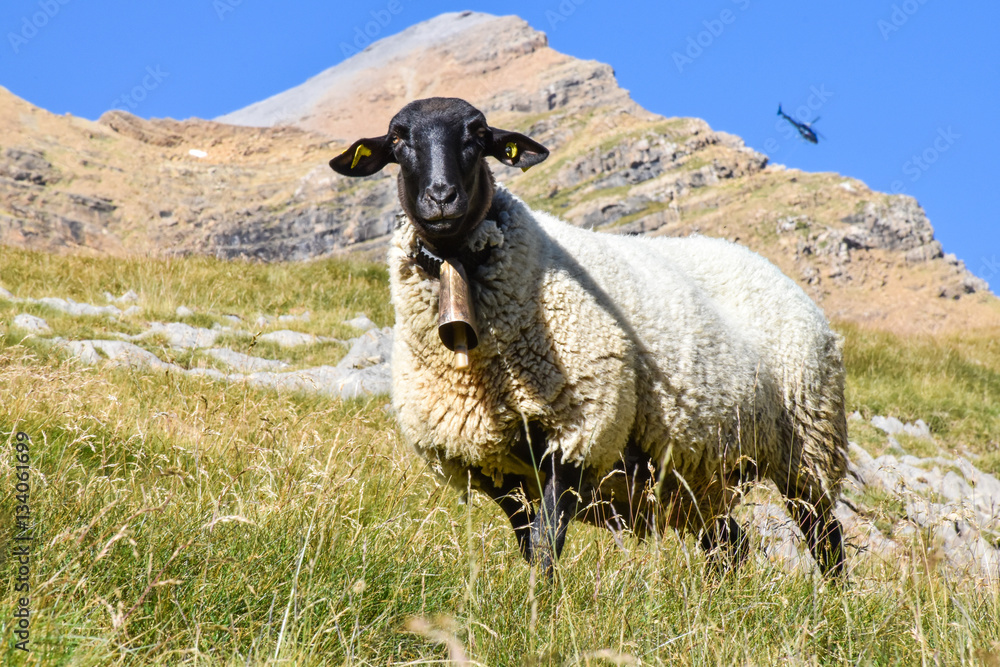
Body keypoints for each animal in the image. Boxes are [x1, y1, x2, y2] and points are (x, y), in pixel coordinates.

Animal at [329, 97, 848, 577]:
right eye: (397, 139)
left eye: (478, 136)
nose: (441, 197)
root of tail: (766, 265)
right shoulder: (491, 466)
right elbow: (528, 542)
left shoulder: (578, 432)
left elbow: (545, 543)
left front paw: (540, 607)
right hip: (698, 472)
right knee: (730, 543)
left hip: (809, 441)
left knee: (826, 536)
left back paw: (829, 606)